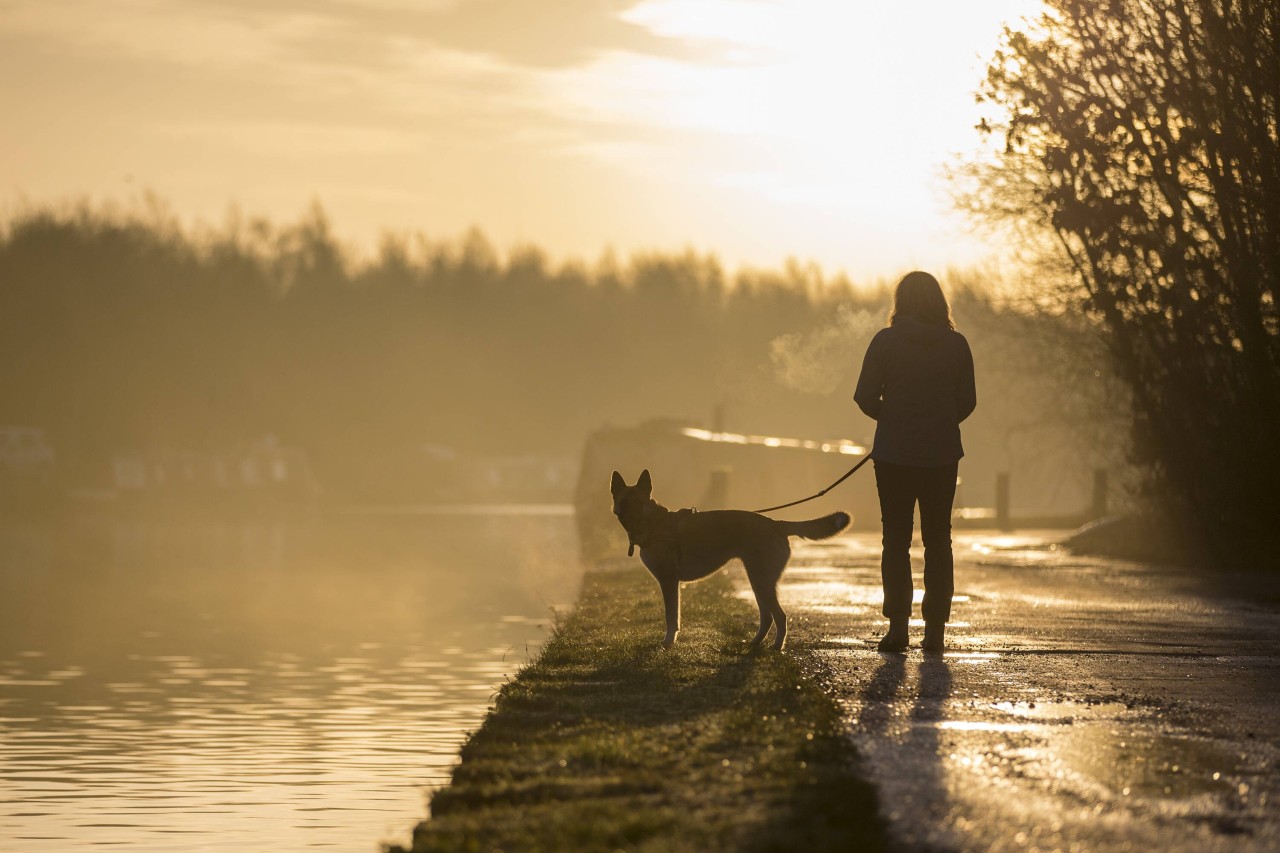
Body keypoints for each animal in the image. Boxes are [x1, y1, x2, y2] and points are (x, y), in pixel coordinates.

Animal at [609, 468, 849, 648]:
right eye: (624, 501)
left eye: (638, 502)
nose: (629, 517)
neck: (654, 523)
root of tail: (775, 524)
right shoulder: (671, 582)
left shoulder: (669, 581)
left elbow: (671, 617)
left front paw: (668, 643)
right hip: (758, 581)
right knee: (767, 617)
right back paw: (754, 644)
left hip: (761, 581)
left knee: (780, 616)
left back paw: (776, 648)